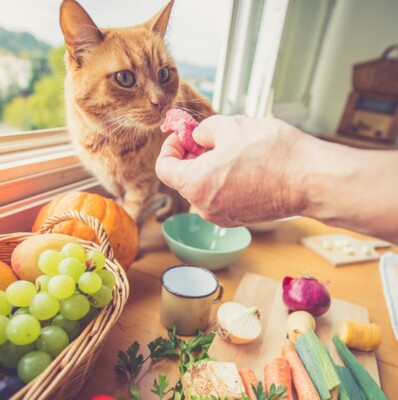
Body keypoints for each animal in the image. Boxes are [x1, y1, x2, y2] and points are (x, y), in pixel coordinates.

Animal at [59, 0, 213, 227]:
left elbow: (132, 216)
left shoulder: (143, 187)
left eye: (163, 73)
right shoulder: (118, 185)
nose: (161, 102)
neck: (110, 142)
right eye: (124, 78)